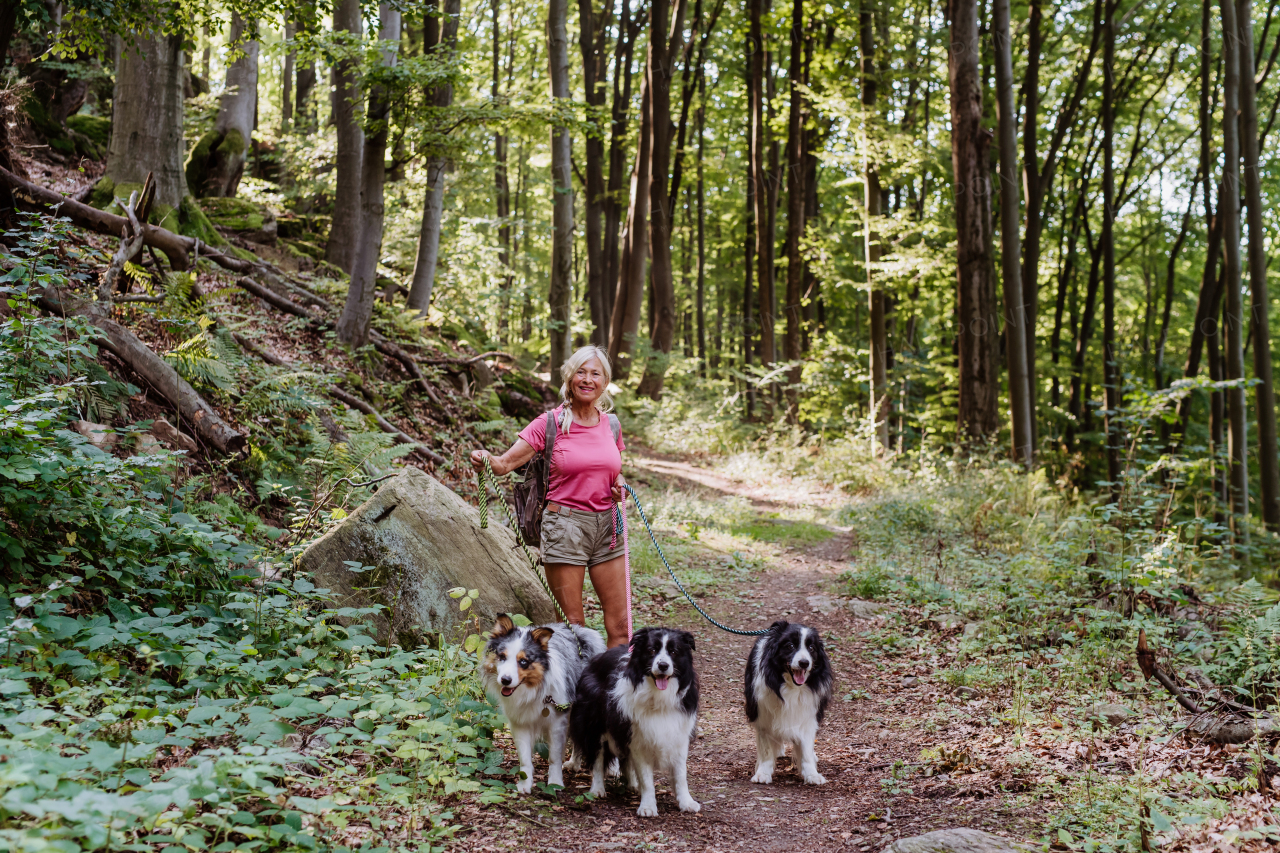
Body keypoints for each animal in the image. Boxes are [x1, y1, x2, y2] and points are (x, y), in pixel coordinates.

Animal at [481, 612, 604, 788]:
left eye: (523, 661)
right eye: (502, 657)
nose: (505, 680)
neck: (533, 690)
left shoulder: (557, 722)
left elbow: (554, 757)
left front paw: (555, 783)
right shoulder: (520, 722)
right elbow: (525, 758)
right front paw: (524, 785)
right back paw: (574, 763)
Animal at [576, 627, 706, 814]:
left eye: (674, 652)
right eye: (651, 650)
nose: (663, 665)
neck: (659, 697)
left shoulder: (678, 735)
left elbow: (681, 774)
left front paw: (686, 802)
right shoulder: (638, 737)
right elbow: (646, 778)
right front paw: (648, 806)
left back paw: (632, 784)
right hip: (595, 726)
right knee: (598, 759)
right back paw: (597, 789)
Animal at [747, 617, 834, 783]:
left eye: (811, 648)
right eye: (790, 646)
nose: (804, 663)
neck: (791, 687)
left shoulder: (807, 716)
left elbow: (806, 749)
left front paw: (812, 774)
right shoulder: (763, 716)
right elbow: (766, 749)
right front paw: (763, 773)